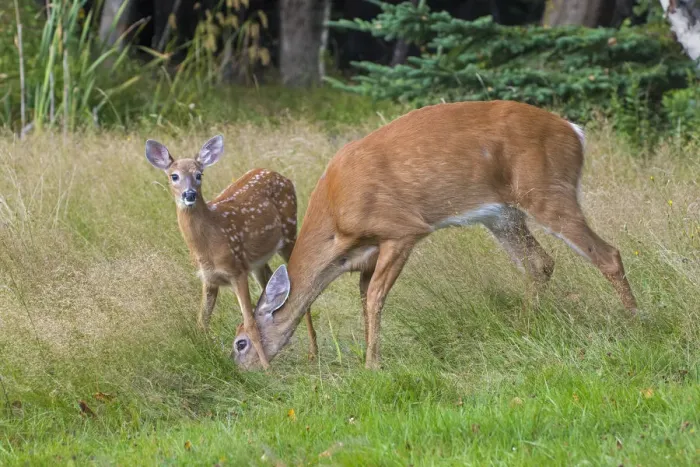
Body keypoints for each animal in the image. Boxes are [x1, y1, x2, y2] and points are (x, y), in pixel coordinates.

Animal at [144, 135, 318, 369]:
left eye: (199, 175)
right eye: (174, 176)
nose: (189, 194)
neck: (209, 243)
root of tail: (280, 175)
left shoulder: (236, 270)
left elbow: (250, 323)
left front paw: (267, 369)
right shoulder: (209, 279)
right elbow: (202, 323)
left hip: (289, 233)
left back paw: (313, 352)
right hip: (258, 261)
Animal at [230, 100, 639, 371]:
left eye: (240, 342)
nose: (244, 370)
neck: (335, 225)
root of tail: (575, 133)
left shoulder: (402, 228)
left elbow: (375, 297)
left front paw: (372, 366)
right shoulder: (365, 256)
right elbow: (364, 298)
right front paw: (369, 356)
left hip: (547, 190)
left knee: (608, 254)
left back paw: (635, 320)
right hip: (502, 215)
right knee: (539, 263)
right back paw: (525, 326)